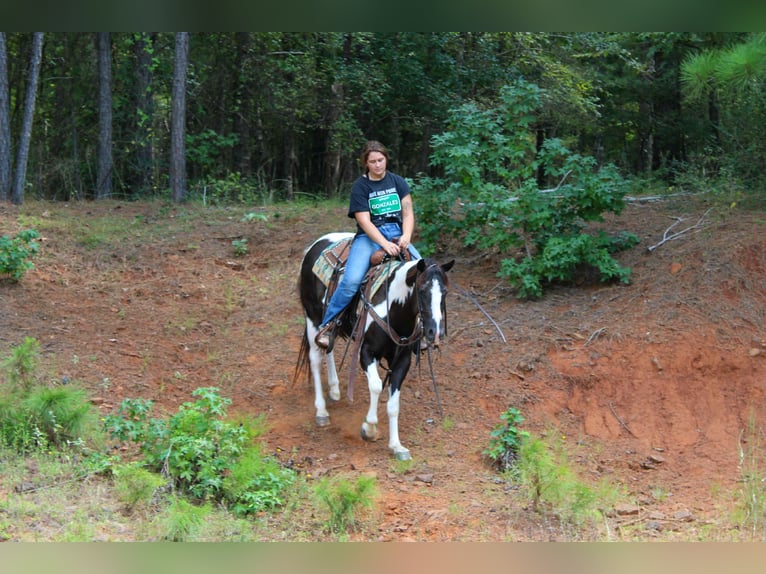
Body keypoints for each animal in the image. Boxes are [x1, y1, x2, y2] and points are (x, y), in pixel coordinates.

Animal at [295, 231, 454, 460]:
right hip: (312, 317)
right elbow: (377, 386)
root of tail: (315, 245)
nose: (435, 333)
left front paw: (397, 446)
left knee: (328, 347)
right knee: (316, 359)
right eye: (422, 289)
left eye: (445, 291)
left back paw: (334, 389)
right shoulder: (366, 352)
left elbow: (394, 404)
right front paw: (369, 428)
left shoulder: (402, 360)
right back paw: (321, 412)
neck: (393, 309)